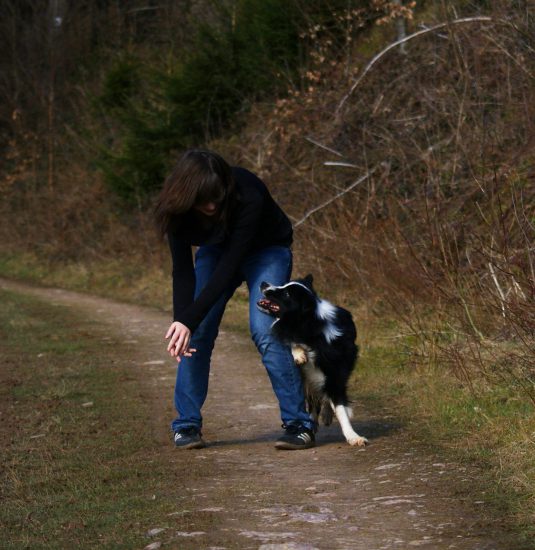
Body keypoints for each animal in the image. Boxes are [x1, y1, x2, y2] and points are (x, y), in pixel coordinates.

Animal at [258, 276, 368, 448]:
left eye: (287, 294)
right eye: (284, 285)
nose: (264, 284)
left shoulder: (335, 375)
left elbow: (341, 409)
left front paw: (353, 437)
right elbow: (290, 341)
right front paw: (298, 353)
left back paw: (326, 415)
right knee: (312, 401)